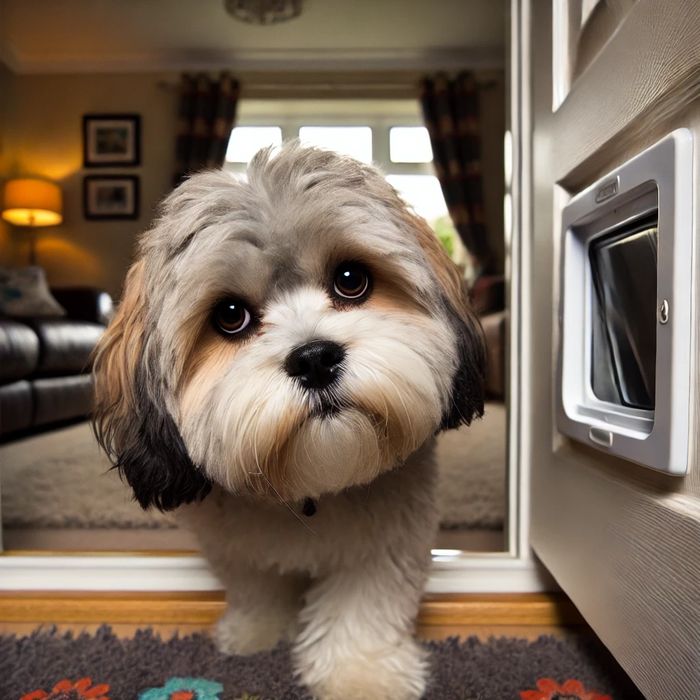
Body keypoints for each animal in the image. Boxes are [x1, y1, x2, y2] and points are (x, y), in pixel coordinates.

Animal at [93, 144, 486, 700]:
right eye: (230, 315)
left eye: (351, 280)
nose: (315, 358)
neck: (308, 487)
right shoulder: (232, 543)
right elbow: (256, 585)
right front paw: (257, 631)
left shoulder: (386, 542)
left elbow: (363, 608)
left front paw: (361, 674)